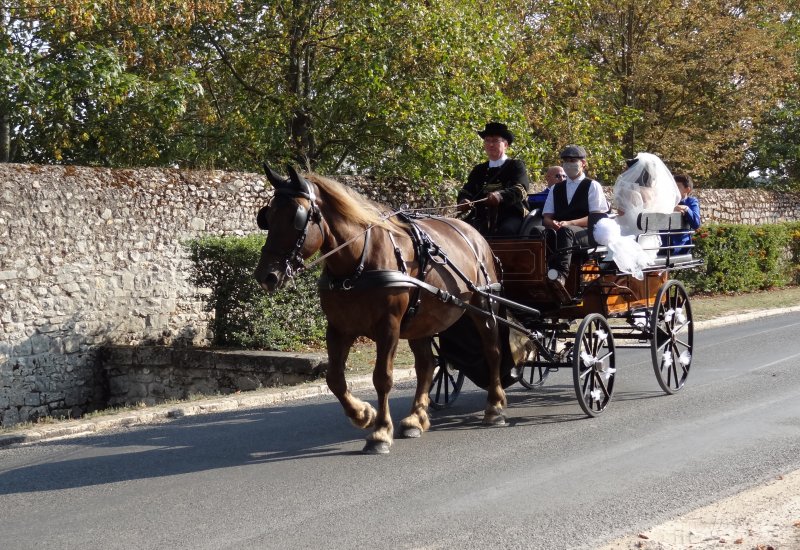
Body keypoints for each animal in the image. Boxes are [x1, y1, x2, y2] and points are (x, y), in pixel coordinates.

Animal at [255, 166, 506, 454]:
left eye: (296, 217)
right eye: (267, 216)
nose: (265, 276)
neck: (358, 262)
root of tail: (473, 233)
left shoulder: (389, 326)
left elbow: (382, 377)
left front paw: (381, 432)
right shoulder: (339, 328)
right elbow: (334, 378)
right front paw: (363, 414)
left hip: (484, 306)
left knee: (493, 351)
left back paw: (494, 406)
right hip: (422, 320)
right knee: (427, 365)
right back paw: (415, 418)